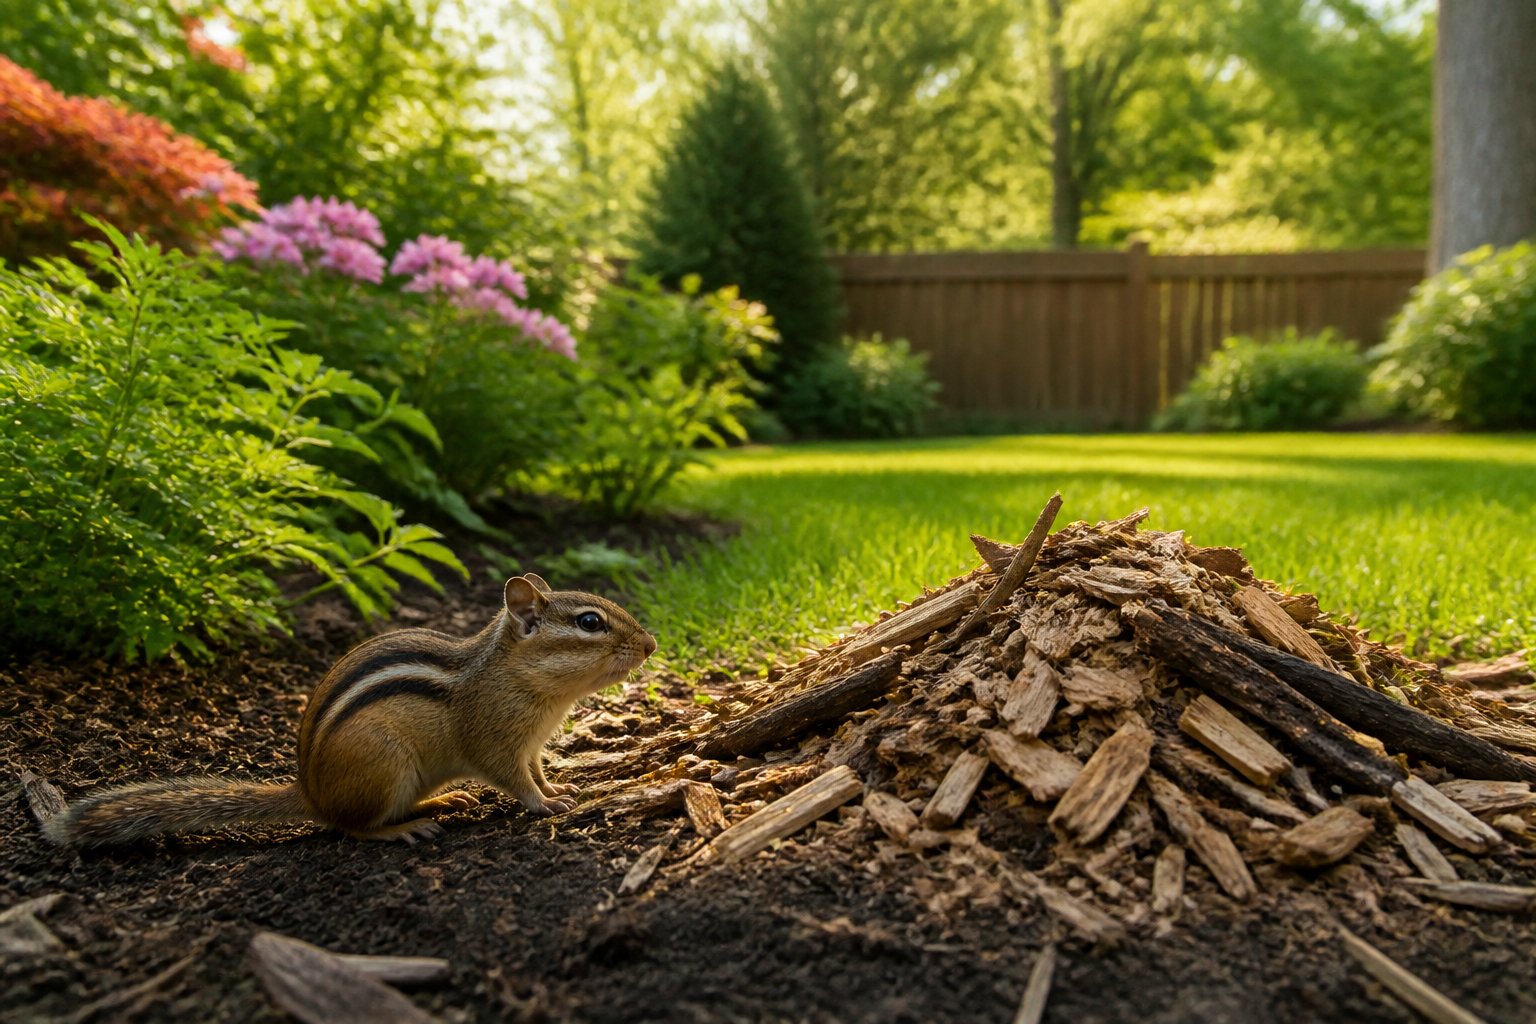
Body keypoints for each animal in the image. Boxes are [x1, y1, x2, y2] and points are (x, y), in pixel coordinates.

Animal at [44, 574, 656, 847]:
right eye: (590, 623)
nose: (651, 644)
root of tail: (309, 792)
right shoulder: (494, 740)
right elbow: (514, 780)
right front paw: (544, 805)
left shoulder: (530, 745)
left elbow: (538, 771)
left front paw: (559, 789)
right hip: (383, 764)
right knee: (350, 826)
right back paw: (405, 829)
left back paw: (443, 800)